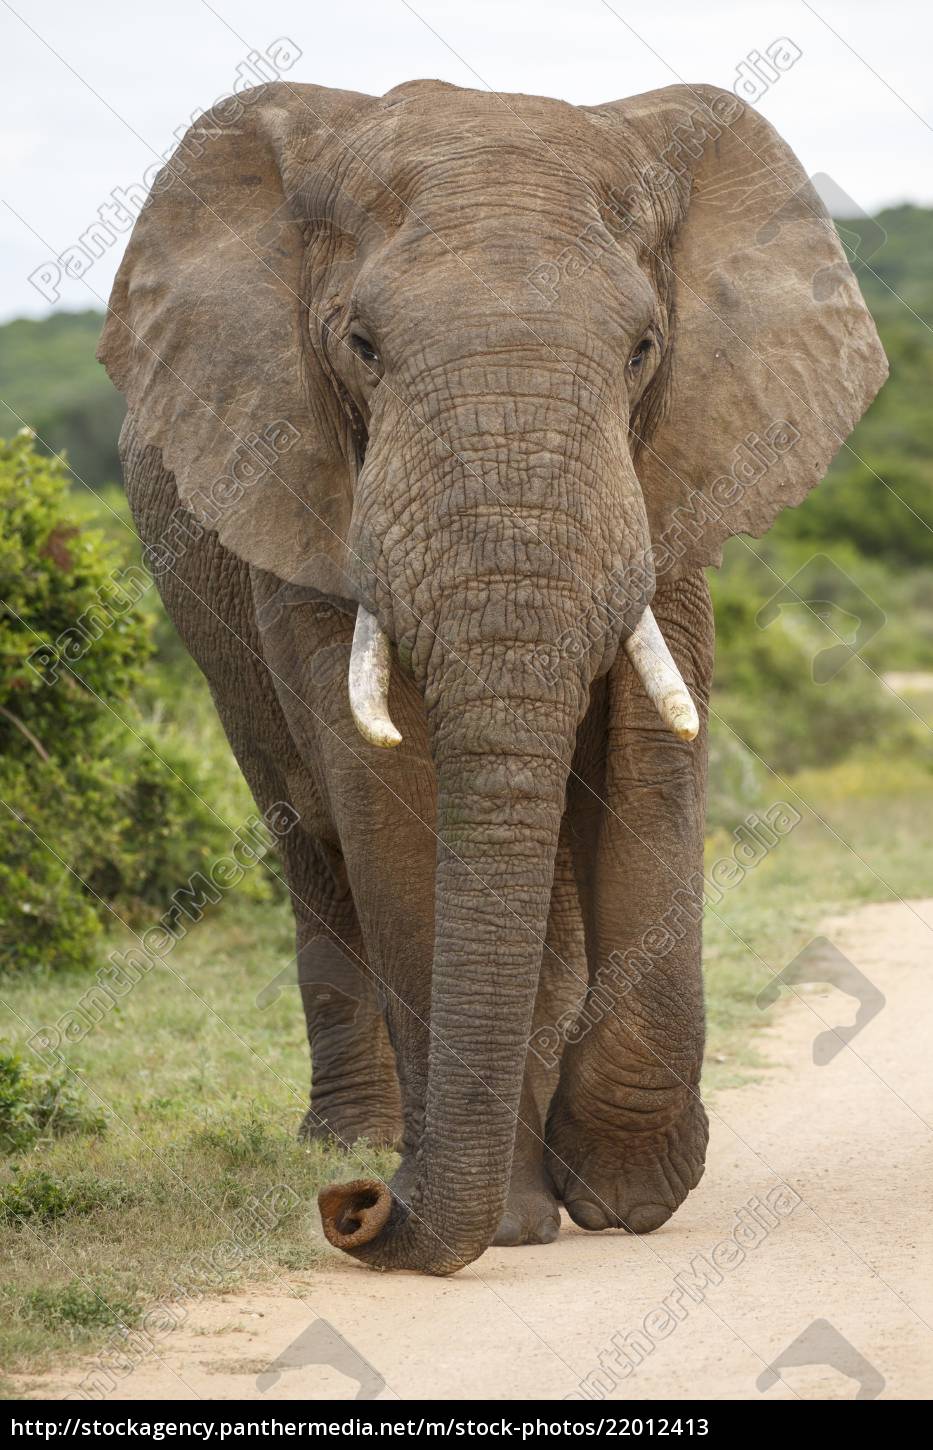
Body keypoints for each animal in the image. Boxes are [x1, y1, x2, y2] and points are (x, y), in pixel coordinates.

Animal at [98, 73, 888, 1276]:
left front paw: (620, 1192)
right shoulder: (299, 479)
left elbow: (654, 759)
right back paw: (354, 1136)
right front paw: (507, 1220)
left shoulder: (676, 466)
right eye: (362, 344)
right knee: (310, 834)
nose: (358, 1209)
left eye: (643, 348)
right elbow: (387, 791)